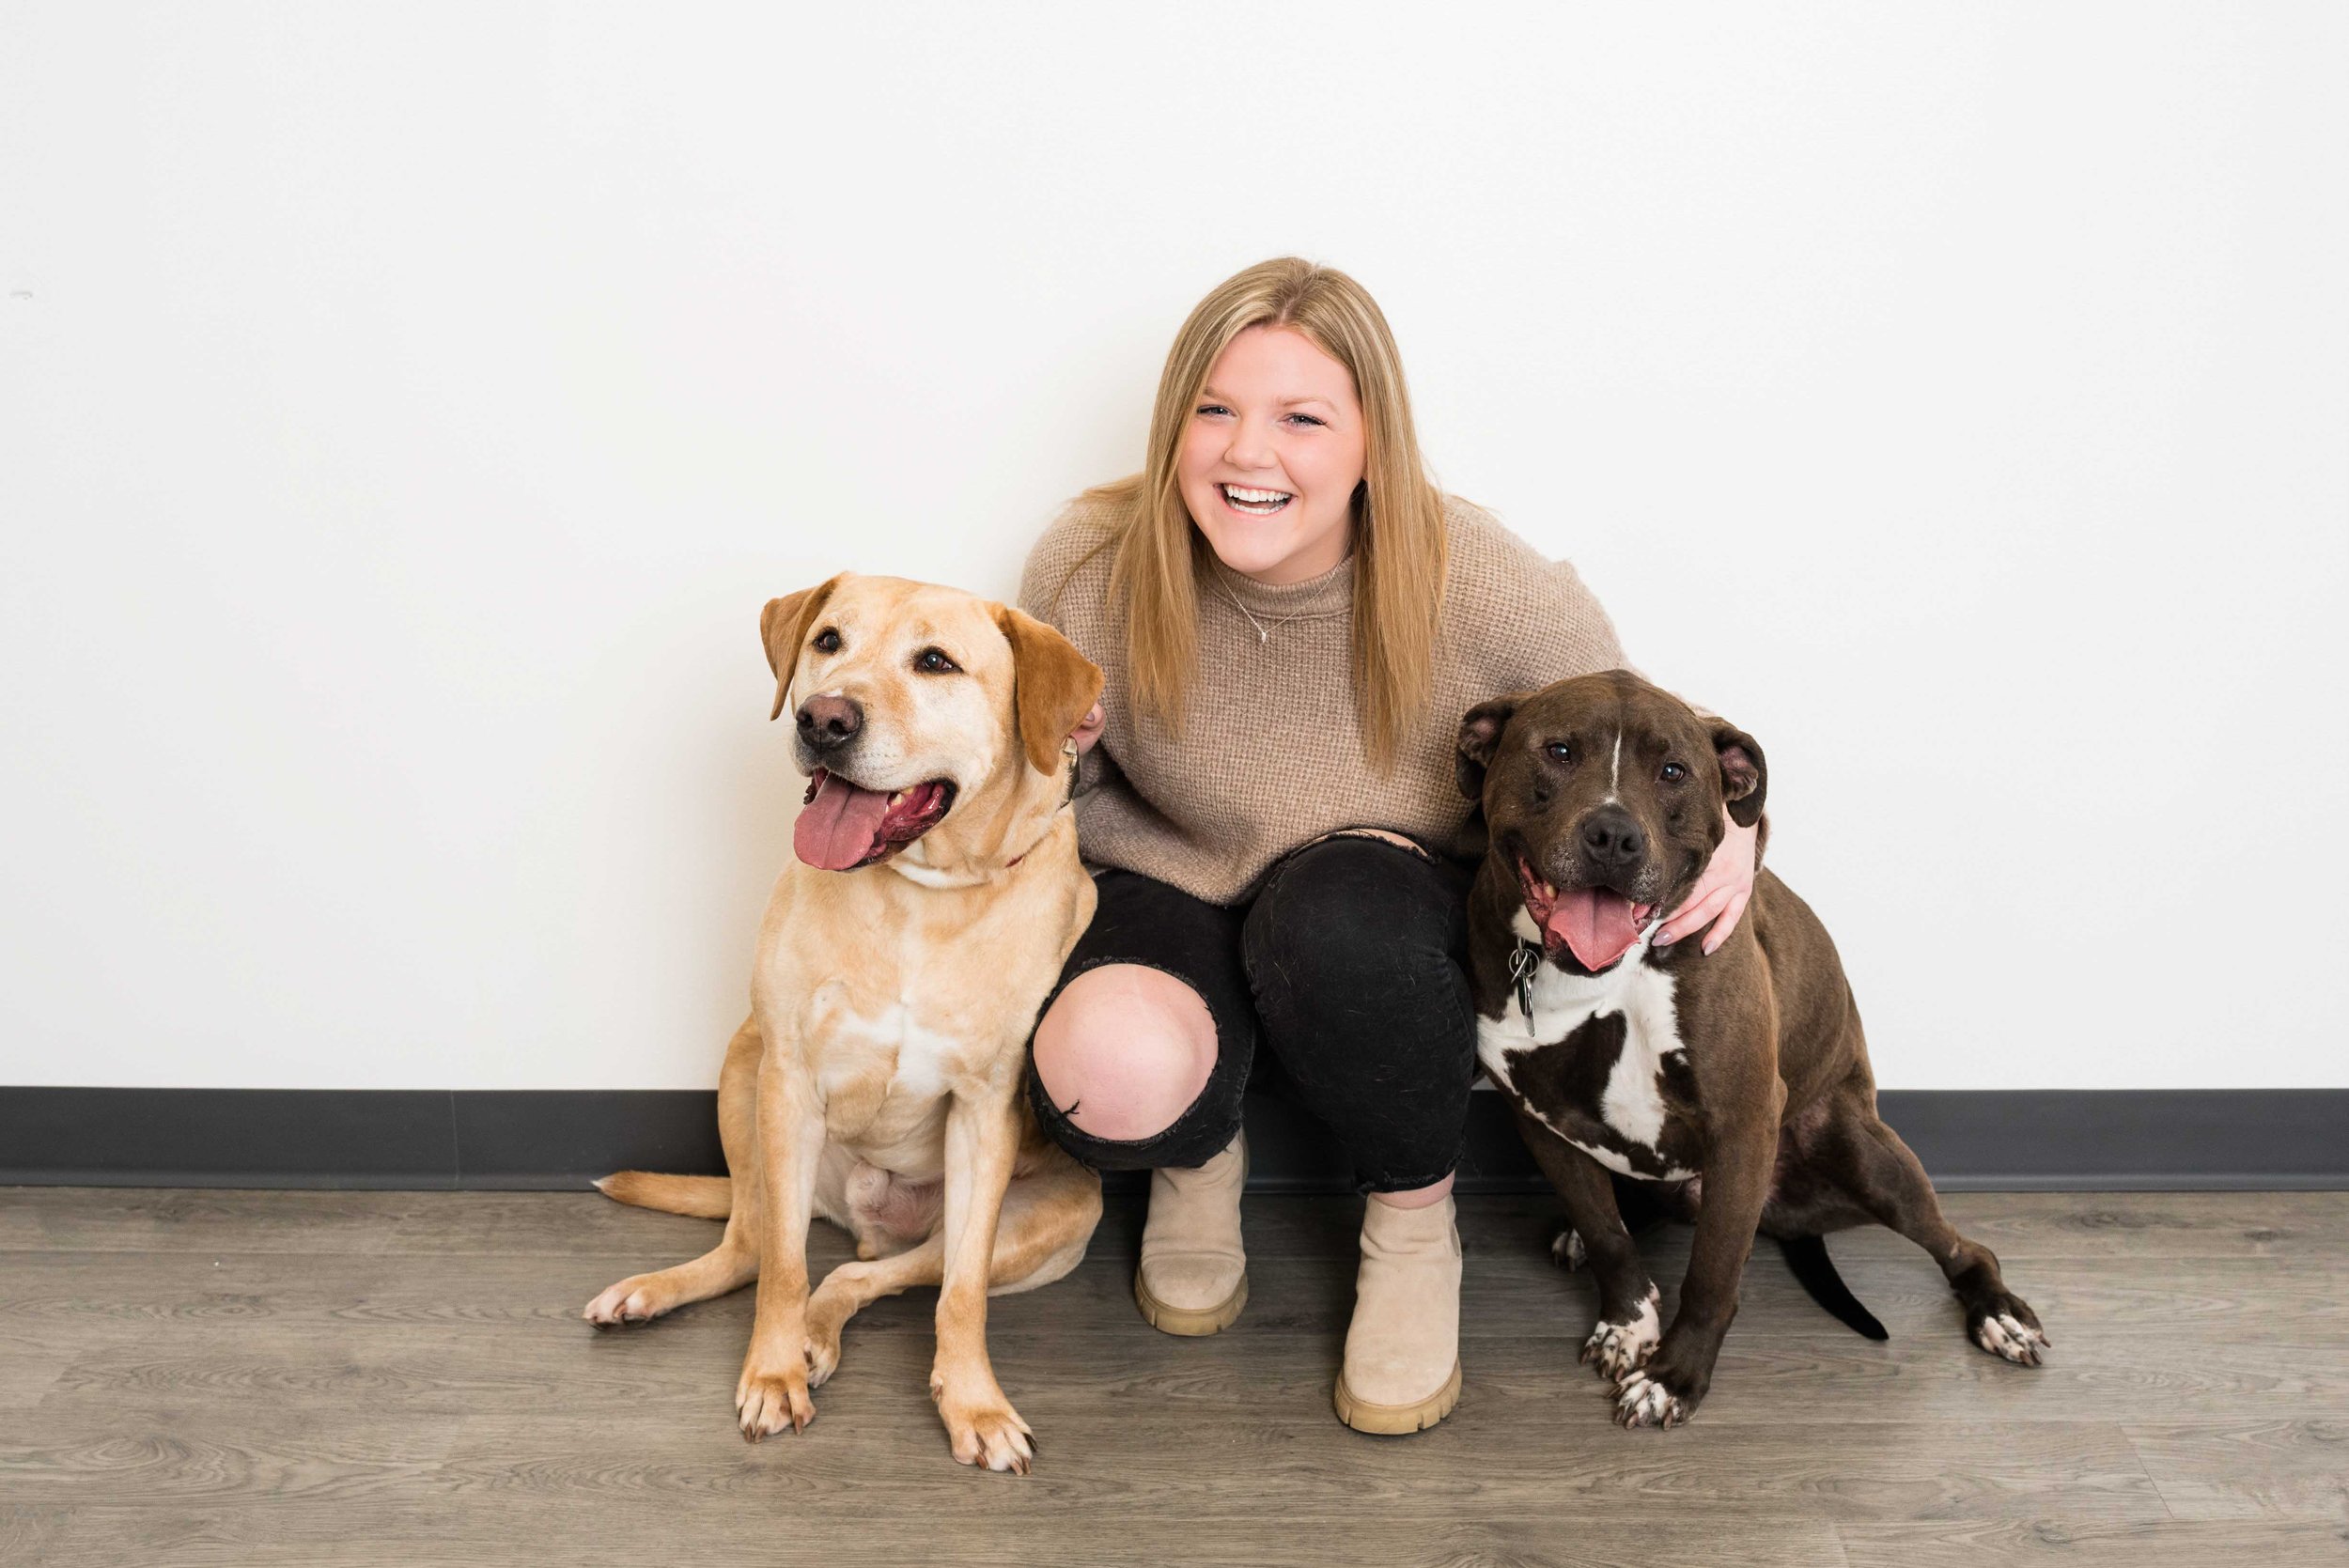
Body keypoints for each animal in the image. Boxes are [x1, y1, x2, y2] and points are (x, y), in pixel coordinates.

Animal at [583, 572, 1104, 1474]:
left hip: (1058, 1213)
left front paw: (975, 1402)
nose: (823, 719)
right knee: (755, 1246)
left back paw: (820, 1334)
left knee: (874, 1275)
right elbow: (783, 1271)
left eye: (936, 662)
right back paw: (669, 1297)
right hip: (744, 1073)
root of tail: (864, 1224)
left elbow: (961, 1294)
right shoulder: (788, 1078)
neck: (920, 895)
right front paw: (771, 1374)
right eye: (828, 640)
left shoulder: (984, 1115)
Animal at [1456, 666, 2048, 1427]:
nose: (1614, 834)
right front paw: (1627, 1322)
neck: (1602, 973)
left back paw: (1998, 1313)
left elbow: (1712, 1273)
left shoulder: (1740, 1124)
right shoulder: (1542, 1119)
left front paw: (1674, 1377)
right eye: (1558, 751)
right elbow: (1609, 1233)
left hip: (1870, 1159)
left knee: (1963, 1247)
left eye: (1674, 771)